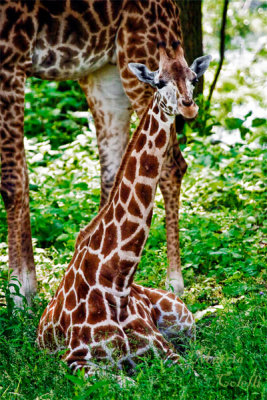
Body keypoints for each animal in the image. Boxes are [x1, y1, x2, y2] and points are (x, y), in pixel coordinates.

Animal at [0, 0, 211, 300]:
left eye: (195, 80)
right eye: (161, 83)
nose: (189, 106)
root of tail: (171, 5)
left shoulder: (11, 58)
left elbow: (11, 182)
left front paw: (19, 293)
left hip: (140, 45)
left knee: (172, 166)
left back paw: (173, 283)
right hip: (104, 69)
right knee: (114, 170)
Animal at [37, 43, 213, 376]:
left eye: (194, 79)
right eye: (159, 82)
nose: (188, 107)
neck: (118, 282)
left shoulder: (166, 351)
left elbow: (198, 373)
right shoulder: (76, 360)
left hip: (183, 321)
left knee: (203, 349)